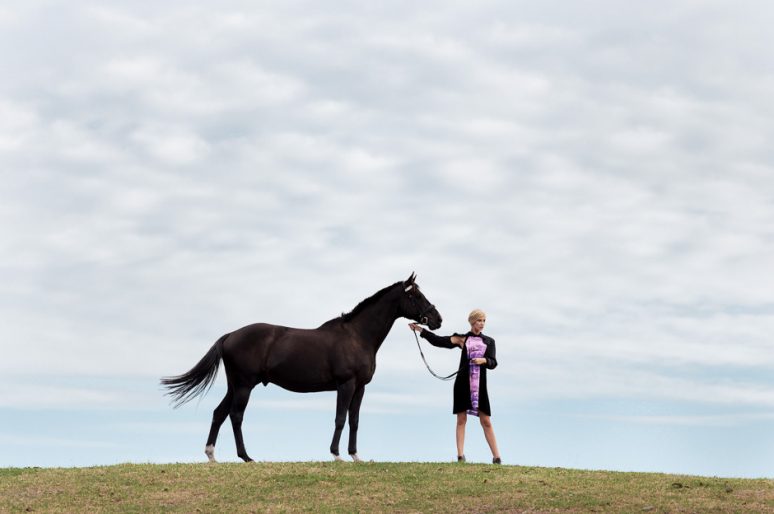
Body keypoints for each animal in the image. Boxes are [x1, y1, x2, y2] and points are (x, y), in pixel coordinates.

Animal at [161, 274, 442, 462]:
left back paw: (212, 456)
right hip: (244, 385)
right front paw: (336, 455)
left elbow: (354, 420)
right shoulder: (346, 384)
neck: (357, 336)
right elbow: (340, 418)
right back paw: (246, 457)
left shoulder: (360, 388)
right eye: (415, 295)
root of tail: (230, 335)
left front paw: (355, 456)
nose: (437, 320)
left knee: (219, 413)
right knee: (236, 415)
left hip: (235, 385)